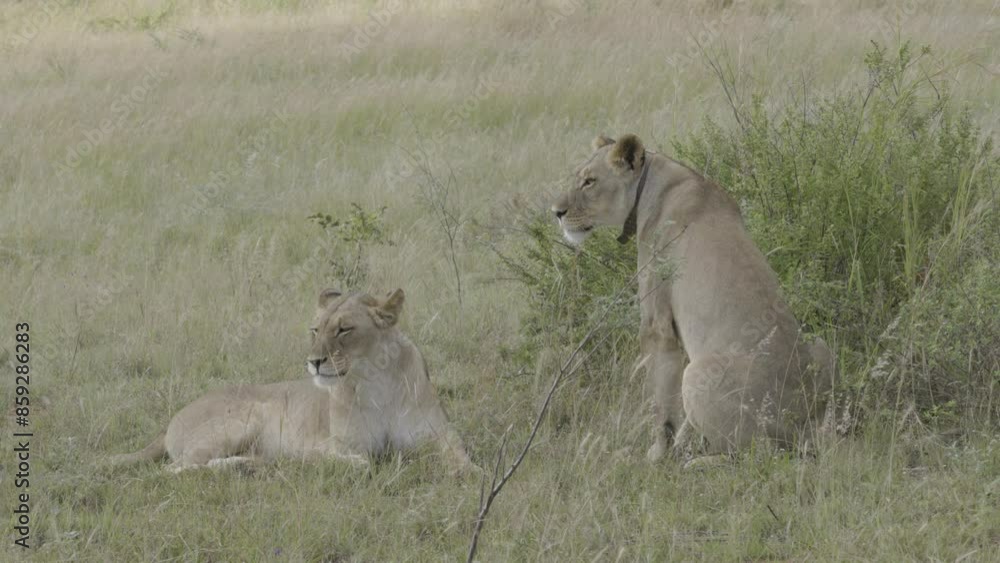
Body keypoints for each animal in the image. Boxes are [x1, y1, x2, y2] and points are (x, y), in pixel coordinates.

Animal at [111, 288, 476, 474]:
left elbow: (461, 455)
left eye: (344, 330)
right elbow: (362, 462)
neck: (377, 379)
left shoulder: (439, 434)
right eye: (315, 329)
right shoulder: (331, 446)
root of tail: (170, 422)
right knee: (176, 469)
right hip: (247, 416)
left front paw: (470, 474)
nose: (314, 362)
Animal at [552, 134, 836, 463]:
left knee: (761, 454)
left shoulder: (657, 323)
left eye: (589, 181)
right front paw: (679, 443)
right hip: (820, 345)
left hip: (699, 374)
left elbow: (661, 399)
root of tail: (807, 423)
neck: (653, 183)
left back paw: (700, 462)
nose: (556, 212)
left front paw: (657, 455)